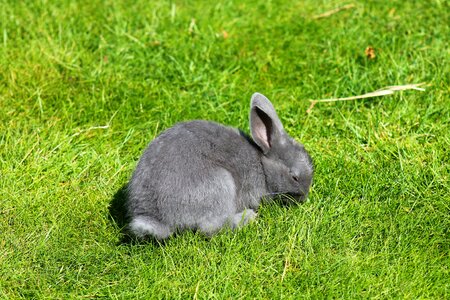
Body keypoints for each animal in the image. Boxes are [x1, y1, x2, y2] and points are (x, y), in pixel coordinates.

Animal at [126, 92, 312, 240]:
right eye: (294, 177)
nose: (304, 198)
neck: (262, 165)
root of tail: (156, 217)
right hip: (221, 183)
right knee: (209, 227)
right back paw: (247, 217)